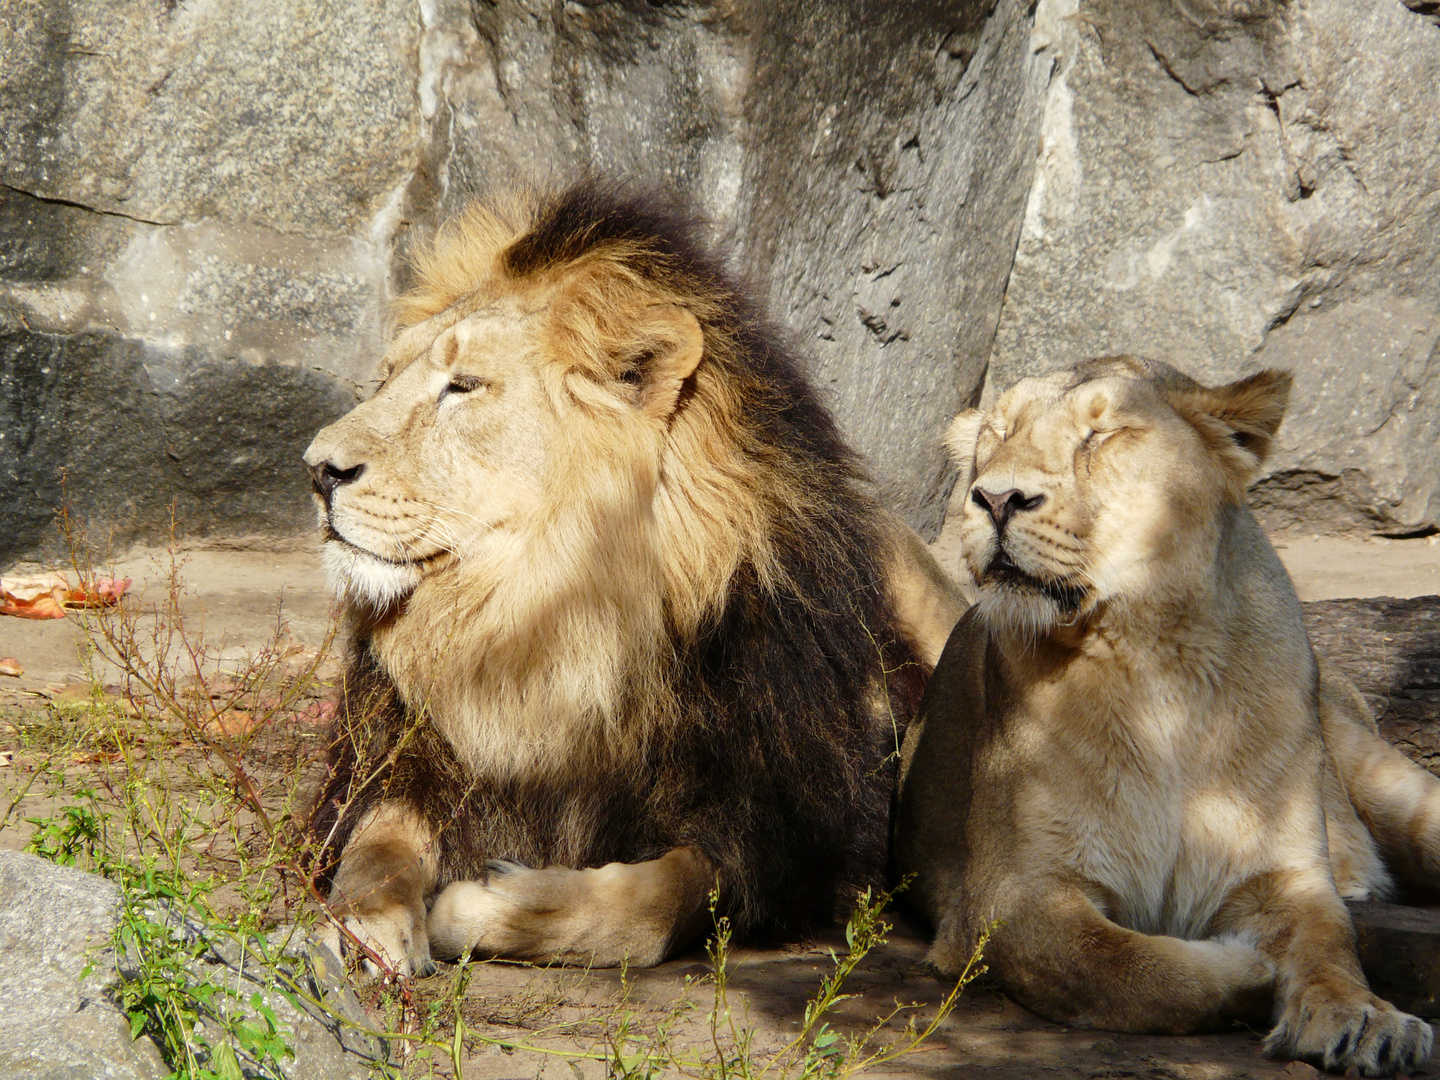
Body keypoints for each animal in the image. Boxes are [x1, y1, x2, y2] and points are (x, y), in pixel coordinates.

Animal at [300, 182, 956, 979]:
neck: (544, 628)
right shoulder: (414, 762)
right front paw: (365, 922)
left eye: (463, 387)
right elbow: (377, 843)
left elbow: (654, 900)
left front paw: (489, 904)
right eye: (387, 378)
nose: (317, 469)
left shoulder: (784, 842)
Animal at [892, 360, 1440, 1077]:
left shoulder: (1287, 874)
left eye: (1102, 435)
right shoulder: (1008, 898)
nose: (995, 498)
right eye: (997, 433)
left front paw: (1366, 1020)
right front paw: (1247, 967)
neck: (1157, 666)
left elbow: (1331, 947)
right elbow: (1132, 968)